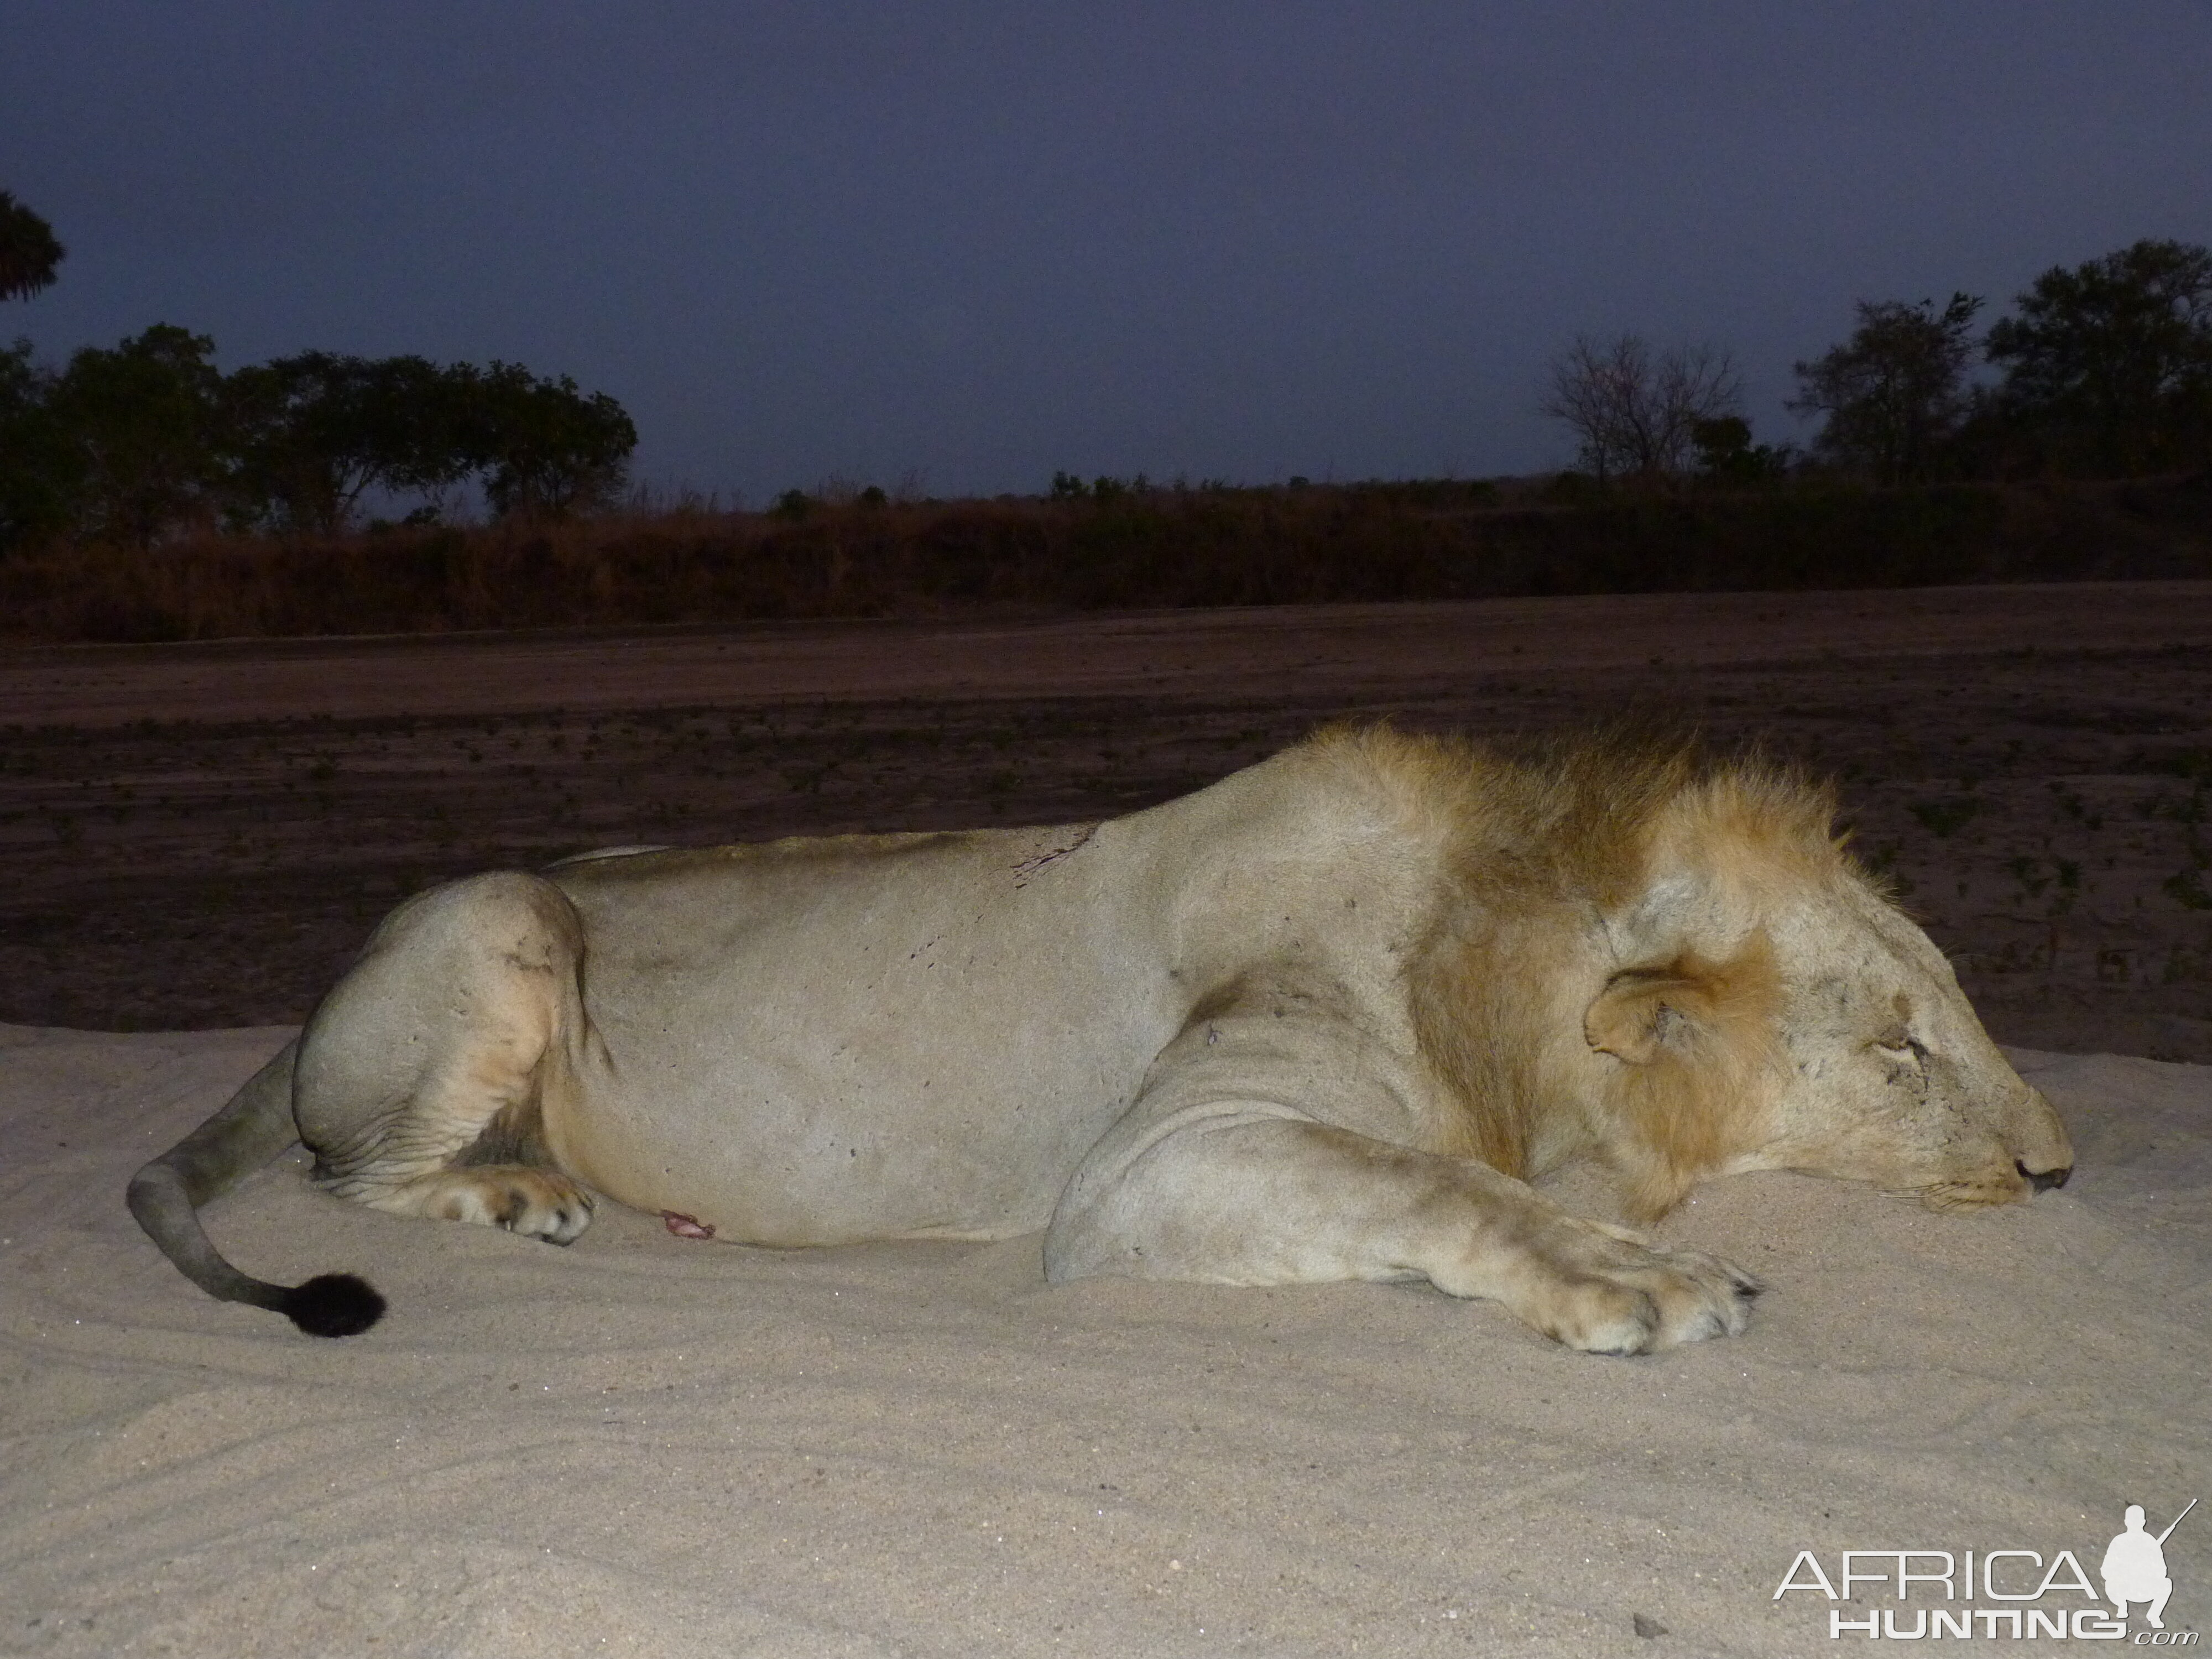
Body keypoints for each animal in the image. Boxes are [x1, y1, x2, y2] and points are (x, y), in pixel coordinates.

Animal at [134, 726, 2070, 1354]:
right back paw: (516, 1194)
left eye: (1954, 1007)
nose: (2061, 1169)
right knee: (347, 1171)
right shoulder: (1156, 1161)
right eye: (1900, 1051)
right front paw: (1636, 1281)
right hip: (505, 919)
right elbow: (1431, 1180)